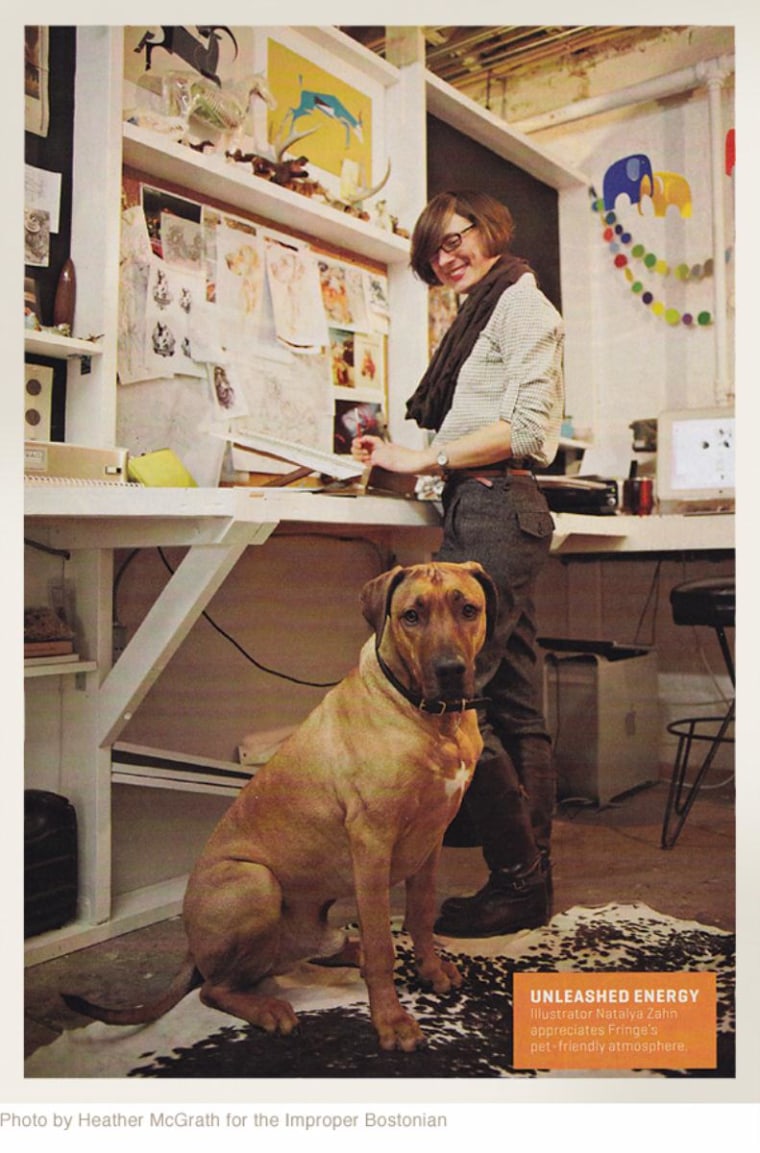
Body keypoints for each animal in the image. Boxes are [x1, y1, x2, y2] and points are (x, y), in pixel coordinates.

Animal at [65, 560, 500, 1056]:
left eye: (468, 609)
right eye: (412, 616)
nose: (450, 670)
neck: (431, 717)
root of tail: (193, 948)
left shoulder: (432, 839)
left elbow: (422, 917)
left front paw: (430, 970)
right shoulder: (373, 844)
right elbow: (384, 946)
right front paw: (391, 1020)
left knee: (308, 955)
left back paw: (345, 954)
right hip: (255, 882)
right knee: (213, 988)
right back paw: (270, 1009)